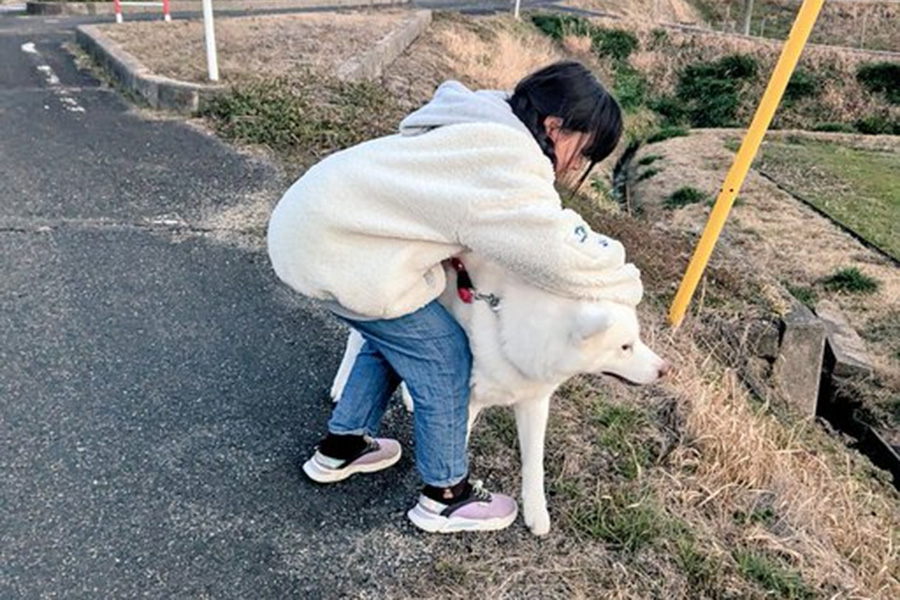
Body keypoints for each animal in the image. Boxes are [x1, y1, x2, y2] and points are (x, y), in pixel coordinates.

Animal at [330, 253, 668, 536]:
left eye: (637, 340)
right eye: (625, 347)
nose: (664, 369)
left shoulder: (533, 402)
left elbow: (534, 464)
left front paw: (536, 512)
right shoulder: (468, 401)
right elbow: (455, 448)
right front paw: (446, 499)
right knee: (359, 340)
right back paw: (342, 384)